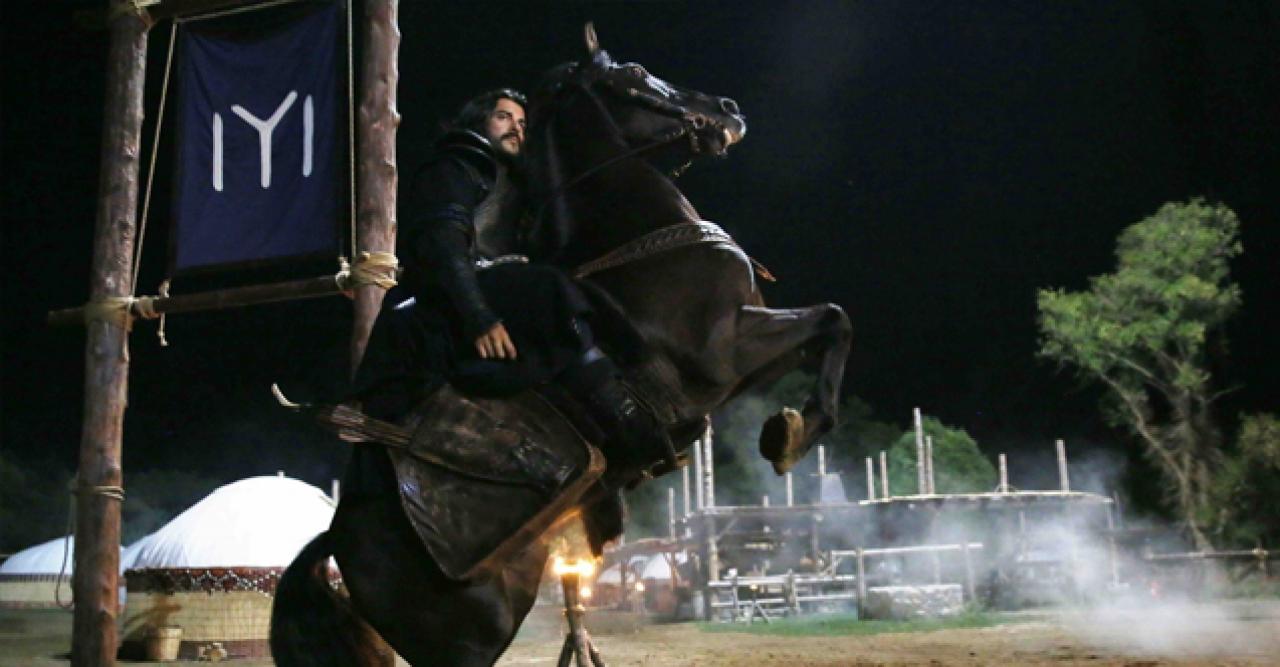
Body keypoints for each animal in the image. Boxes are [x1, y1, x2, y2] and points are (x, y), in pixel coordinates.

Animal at [269, 25, 851, 667]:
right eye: (634, 72)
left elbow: (828, 325)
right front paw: (790, 434)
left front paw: (791, 429)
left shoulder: (742, 362)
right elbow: (833, 319)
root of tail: (338, 538)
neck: (635, 236)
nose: (727, 111)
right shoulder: (725, 348)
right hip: (465, 639)